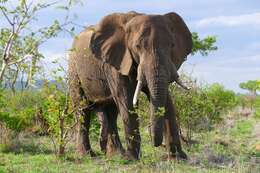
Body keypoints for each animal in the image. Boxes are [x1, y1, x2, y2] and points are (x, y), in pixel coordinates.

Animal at [68, 10, 192, 159]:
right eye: (138, 46)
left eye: (172, 45)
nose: (156, 144)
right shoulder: (116, 62)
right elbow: (127, 101)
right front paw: (131, 158)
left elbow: (167, 100)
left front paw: (179, 158)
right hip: (74, 69)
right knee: (82, 109)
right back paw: (87, 155)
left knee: (111, 111)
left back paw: (116, 154)